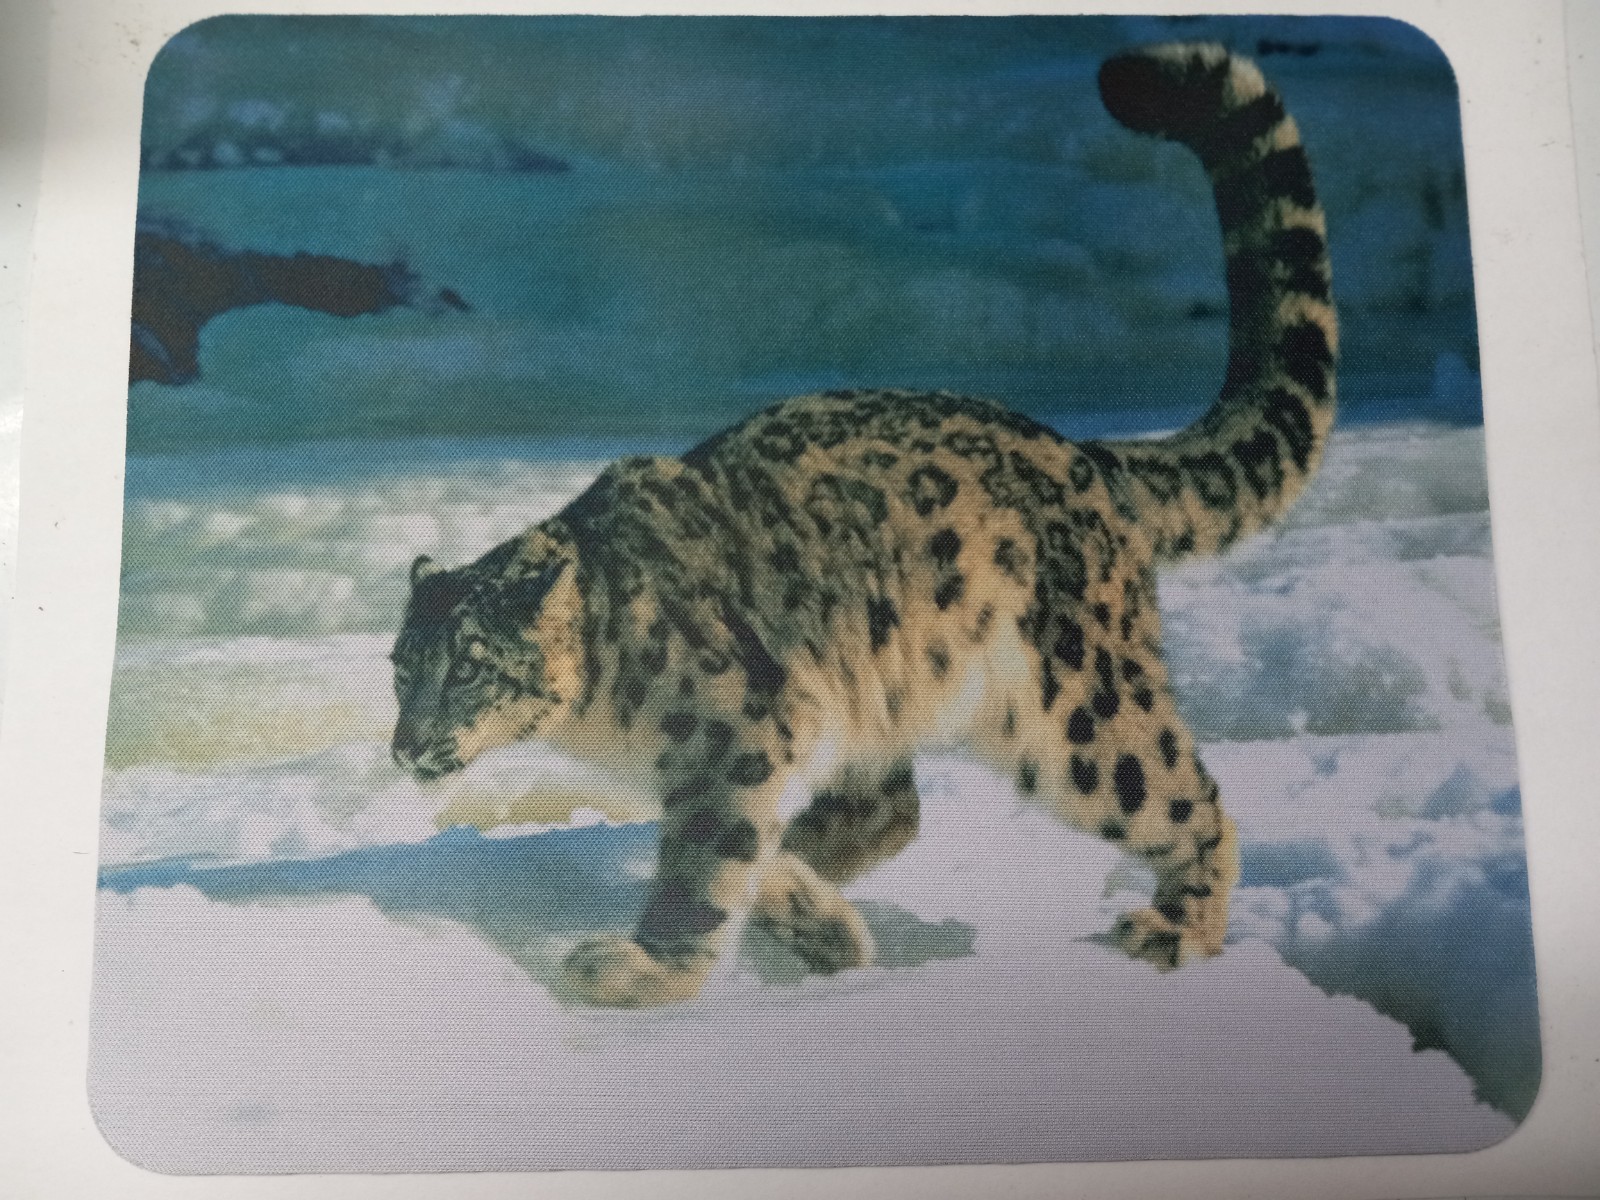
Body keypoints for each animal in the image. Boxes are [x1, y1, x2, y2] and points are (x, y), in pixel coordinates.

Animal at [389, 43, 1337, 1007]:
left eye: (469, 669)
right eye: (399, 668)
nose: (406, 746)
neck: (601, 721)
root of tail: (1084, 455)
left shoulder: (737, 735)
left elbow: (703, 871)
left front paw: (641, 970)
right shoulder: (761, 749)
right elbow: (740, 848)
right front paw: (816, 922)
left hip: (1077, 712)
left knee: (1185, 799)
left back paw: (1176, 930)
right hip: (876, 690)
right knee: (890, 808)